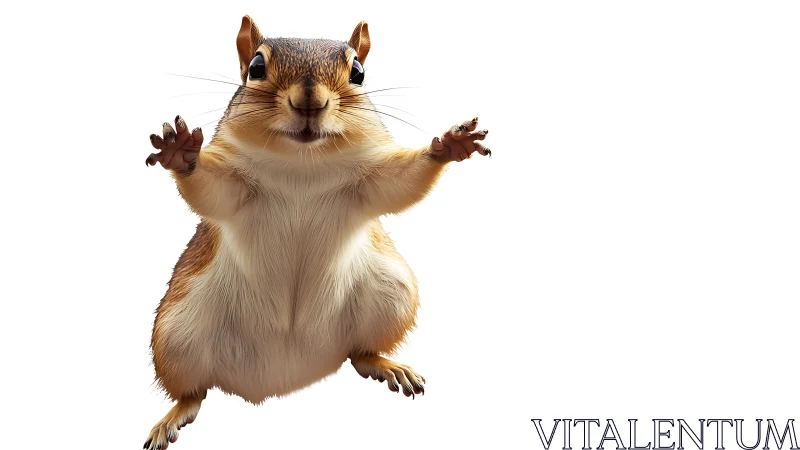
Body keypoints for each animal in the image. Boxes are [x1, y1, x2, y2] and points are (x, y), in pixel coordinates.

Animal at [142, 15, 491, 450]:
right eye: (256, 68)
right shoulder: (236, 186)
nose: (310, 102)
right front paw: (181, 152)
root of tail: (289, 372)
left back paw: (386, 365)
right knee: (193, 391)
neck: (302, 165)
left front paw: (449, 144)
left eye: (358, 72)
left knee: (359, 353)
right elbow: (209, 189)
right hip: (175, 335)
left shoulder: (369, 180)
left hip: (391, 295)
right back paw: (174, 414)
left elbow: (401, 183)